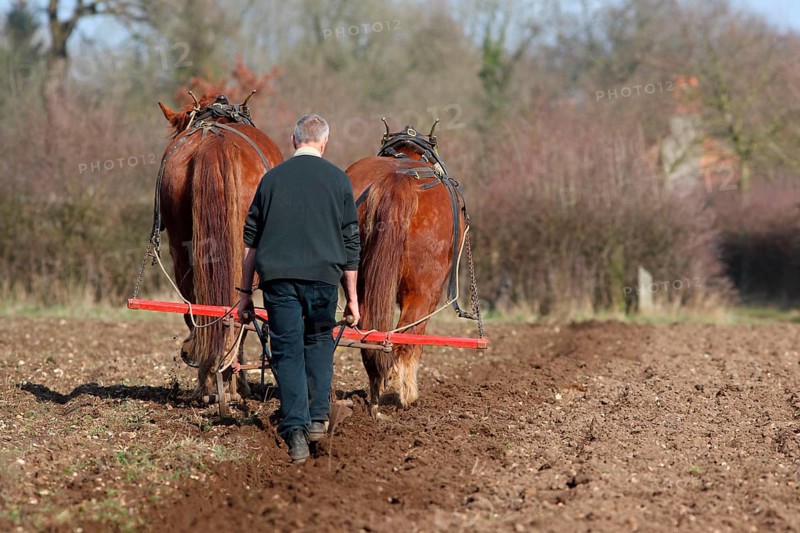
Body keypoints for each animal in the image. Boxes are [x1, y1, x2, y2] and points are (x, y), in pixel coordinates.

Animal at [155, 92, 283, 400]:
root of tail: (215, 141)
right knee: (237, 308)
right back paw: (227, 373)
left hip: (181, 248)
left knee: (197, 307)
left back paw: (208, 378)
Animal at [345, 121, 479, 416]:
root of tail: (397, 181)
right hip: (425, 286)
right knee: (407, 335)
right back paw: (407, 395)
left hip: (358, 280)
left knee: (370, 332)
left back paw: (376, 391)